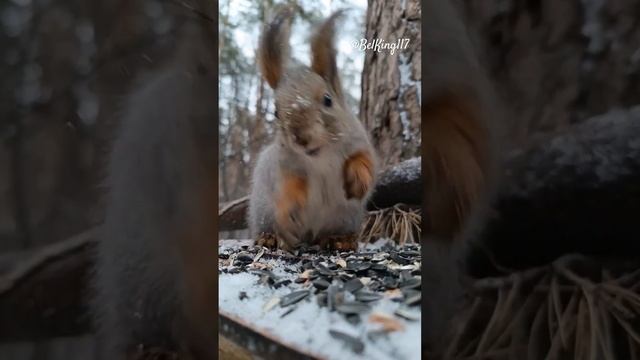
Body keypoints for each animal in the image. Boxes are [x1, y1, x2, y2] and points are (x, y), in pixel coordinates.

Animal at [249, 7, 380, 250]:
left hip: (345, 219)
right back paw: (269, 236)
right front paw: (291, 208)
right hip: (263, 212)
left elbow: (364, 161)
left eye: (328, 100)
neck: (321, 156)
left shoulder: (359, 141)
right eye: (276, 112)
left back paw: (340, 240)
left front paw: (357, 180)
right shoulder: (288, 164)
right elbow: (290, 185)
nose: (300, 137)